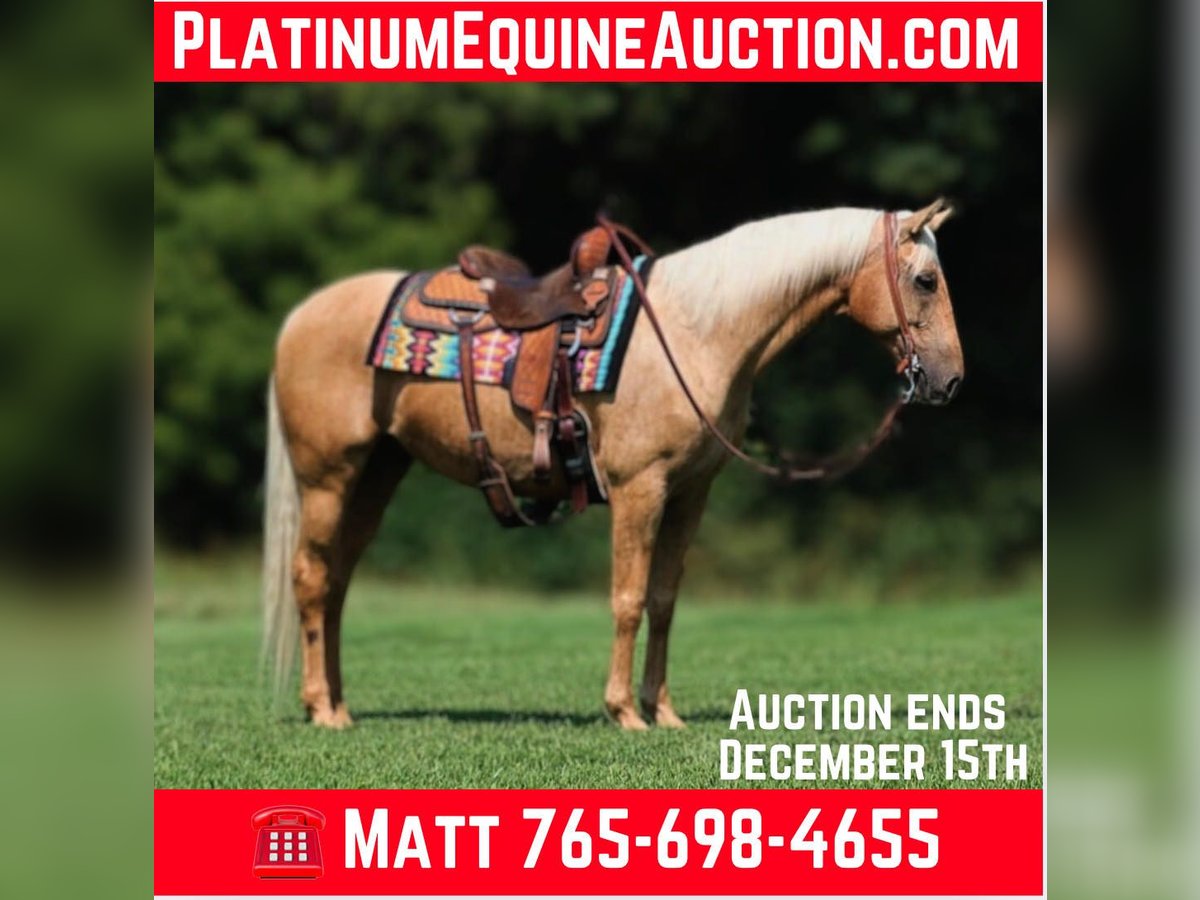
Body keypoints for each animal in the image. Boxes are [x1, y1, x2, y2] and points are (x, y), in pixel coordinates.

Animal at [262, 200, 963, 731]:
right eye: (926, 280)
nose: (951, 380)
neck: (692, 334)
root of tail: (300, 318)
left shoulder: (690, 493)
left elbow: (664, 599)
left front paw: (665, 712)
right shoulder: (639, 488)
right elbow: (628, 598)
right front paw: (624, 712)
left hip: (379, 472)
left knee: (338, 582)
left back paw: (341, 704)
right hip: (327, 475)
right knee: (311, 578)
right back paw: (322, 709)